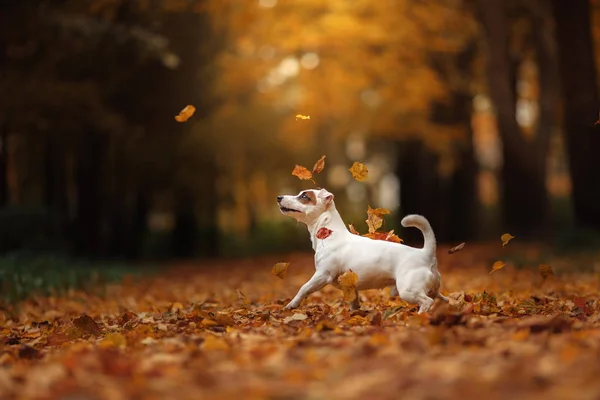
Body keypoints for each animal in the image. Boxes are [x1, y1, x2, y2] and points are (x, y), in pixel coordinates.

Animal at [276, 189, 446, 314]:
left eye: (304, 196)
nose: (279, 197)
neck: (329, 233)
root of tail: (425, 253)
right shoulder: (350, 286)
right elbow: (353, 302)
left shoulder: (322, 274)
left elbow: (304, 288)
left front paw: (292, 304)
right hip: (430, 289)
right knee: (440, 298)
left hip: (408, 290)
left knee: (427, 302)